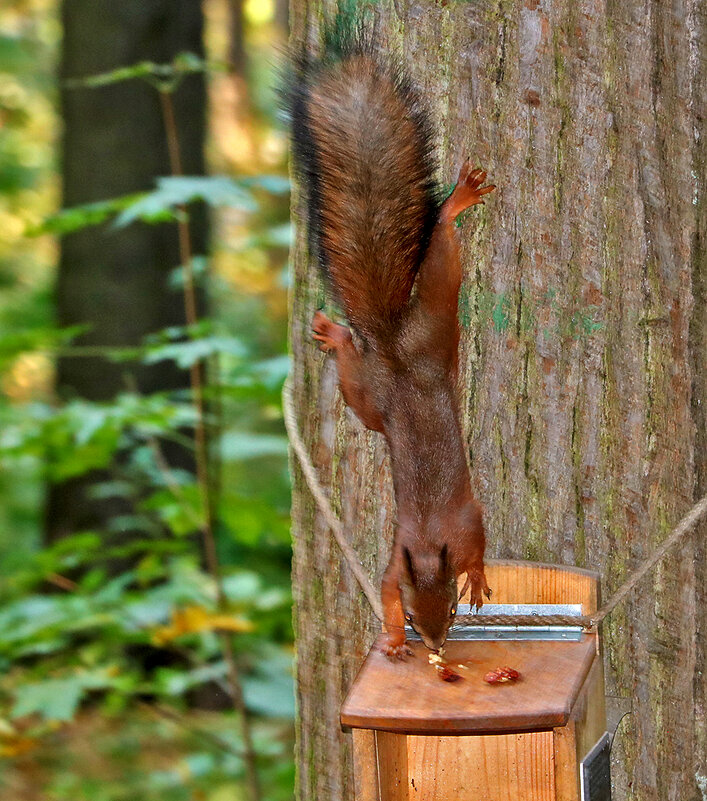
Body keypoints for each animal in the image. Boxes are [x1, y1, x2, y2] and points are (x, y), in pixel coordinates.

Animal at [290, 47, 496, 656]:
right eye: (411, 612)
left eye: (450, 610)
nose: (434, 645)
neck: (428, 542)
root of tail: (395, 351)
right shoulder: (394, 562)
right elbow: (382, 588)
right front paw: (391, 639)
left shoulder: (465, 522)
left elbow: (479, 544)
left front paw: (477, 577)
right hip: (381, 387)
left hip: (425, 331)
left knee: (440, 255)